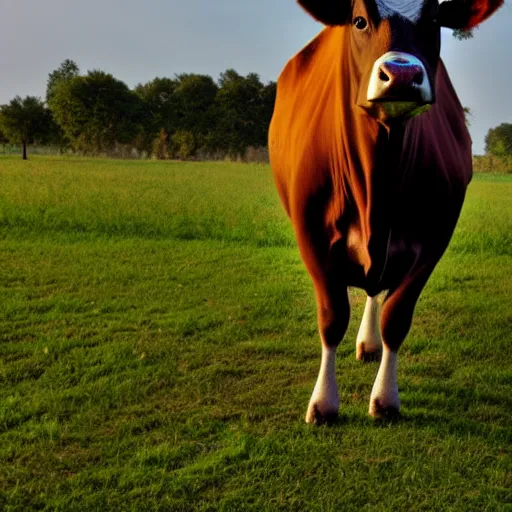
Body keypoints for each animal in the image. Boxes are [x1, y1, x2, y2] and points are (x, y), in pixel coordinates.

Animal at [270, 0, 502, 422]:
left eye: (434, 20)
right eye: (360, 20)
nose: (402, 75)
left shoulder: (434, 239)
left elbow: (397, 317)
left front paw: (385, 400)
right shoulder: (311, 236)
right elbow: (332, 317)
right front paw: (323, 403)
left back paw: (369, 344)